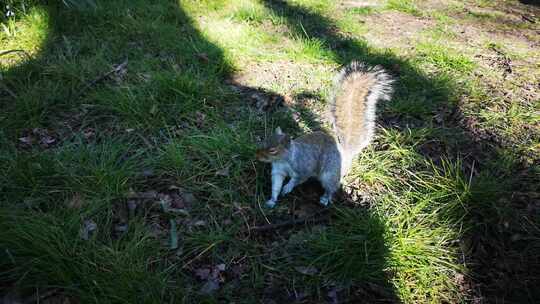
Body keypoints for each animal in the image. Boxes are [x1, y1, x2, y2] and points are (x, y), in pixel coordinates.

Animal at [255, 61, 394, 209]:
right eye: (264, 141)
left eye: (272, 150)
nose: (257, 156)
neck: (284, 159)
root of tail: (346, 154)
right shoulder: (278, 170)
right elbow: (276, 185)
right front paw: (272, 200)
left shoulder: (304, 167)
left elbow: (298, 179)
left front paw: (287, 187)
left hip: (330, 174)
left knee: (331, 188)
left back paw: (325, 199)